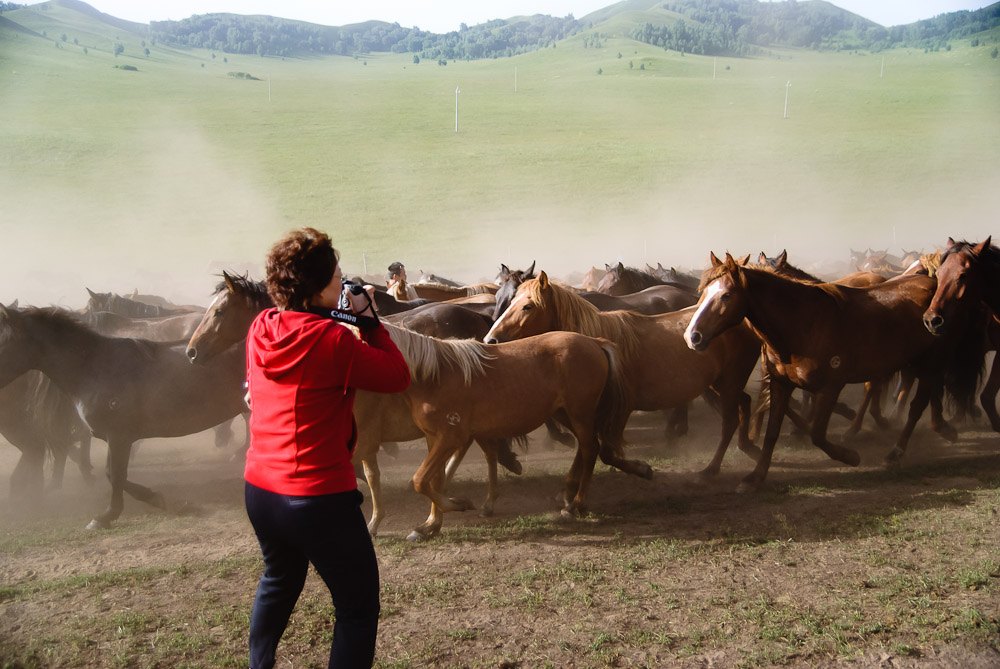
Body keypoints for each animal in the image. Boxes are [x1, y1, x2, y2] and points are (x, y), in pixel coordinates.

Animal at [0, 306, 249, 528]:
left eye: (2, 341)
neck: (94, 368)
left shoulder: (119, 436)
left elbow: (116, 475)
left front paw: (107, 516)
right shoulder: (116, 437)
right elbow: (113, 474)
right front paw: (153, 497)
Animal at [380, 320, 648, 540]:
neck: (434, 376)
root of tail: (594, 342)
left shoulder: (450, 438)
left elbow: (421, 480)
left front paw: (460, 504)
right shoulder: (433, 438)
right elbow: (433, 481)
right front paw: (430, 525)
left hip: (579, 412)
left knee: (591, 448)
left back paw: (576, 505)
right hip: (565, 413)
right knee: (586, 447)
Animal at [486, 268, 764, 478]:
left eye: (528, 306)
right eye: (508, 300)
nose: (491, 339)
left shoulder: (619, 409)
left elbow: (605, 451)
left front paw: (642, 469)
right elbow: (590, 448)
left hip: (729, 383)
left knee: (730, 420)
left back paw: (711, 469)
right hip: (722, 383)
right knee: (744, 403)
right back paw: (749, 447)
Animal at [684, 250, 980, 490]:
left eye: (725, 295)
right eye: (702, 293)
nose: (693, 336)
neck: (803, 324)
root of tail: (935, 287)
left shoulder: (830, 386)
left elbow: (817, 433)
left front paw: (850, 456)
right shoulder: (780, 383)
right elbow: (772, 432)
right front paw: (755, 477)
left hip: (934, 359)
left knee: (918, 402)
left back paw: (896, 452)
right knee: (930, 390)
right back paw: (941, 428)